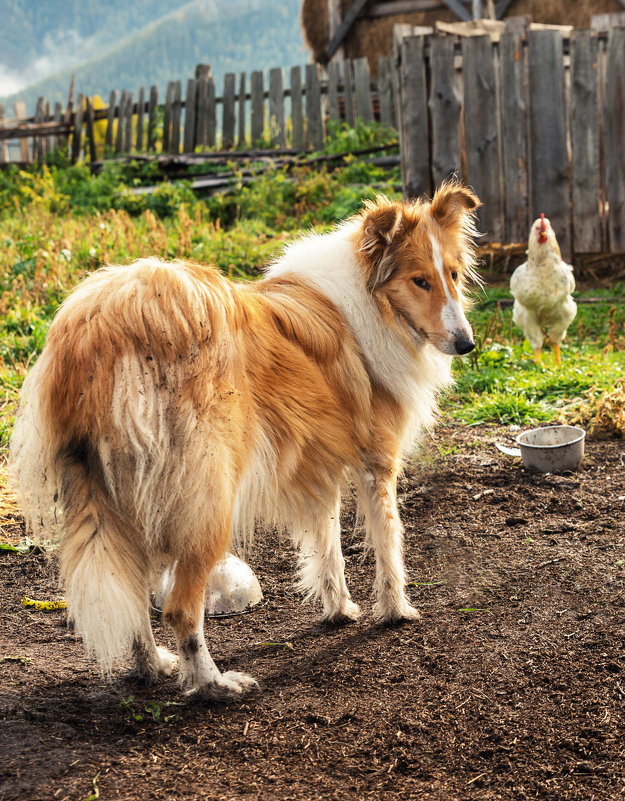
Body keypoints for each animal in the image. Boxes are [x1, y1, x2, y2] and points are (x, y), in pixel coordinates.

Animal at [8, 181, 478, 700]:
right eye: (419, 281)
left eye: (453, 274)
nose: (467, 344)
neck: (367, 297)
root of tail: (102, 326)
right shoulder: (377, 462)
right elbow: (389, 543)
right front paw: (396, 611)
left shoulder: (316, 468)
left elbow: (327, 545)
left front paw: (339, 609)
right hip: (208, 497)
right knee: (179, 608)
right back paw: (212, 683)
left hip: (124, 498)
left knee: (131, 592)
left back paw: (153, 665)